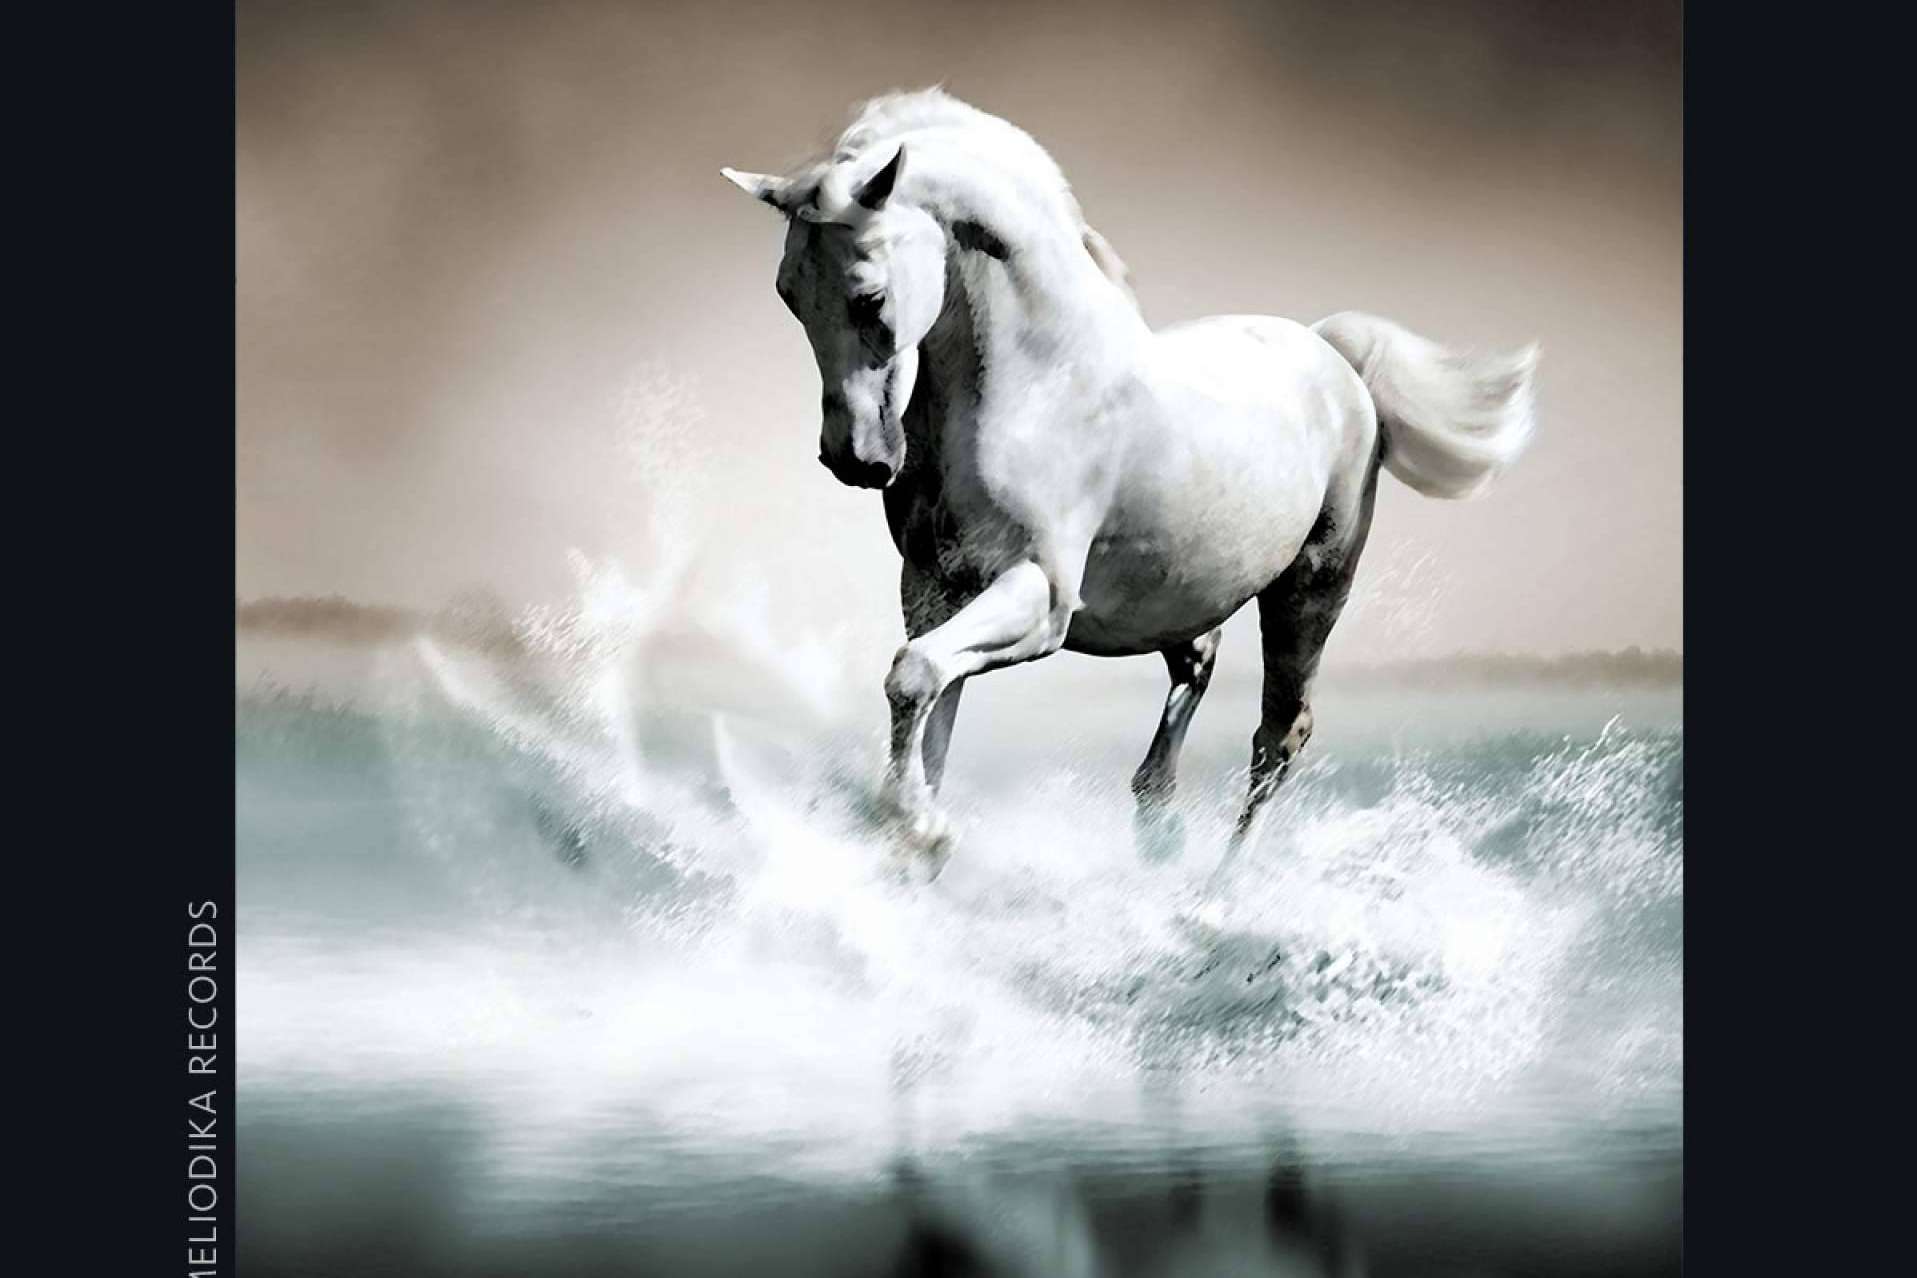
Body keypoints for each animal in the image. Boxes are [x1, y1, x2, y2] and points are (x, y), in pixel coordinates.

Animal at [723, 89, 1537, 875]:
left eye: (869, 297)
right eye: (788, 293)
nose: (855, 458)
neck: (1035, 385)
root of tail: (1333, 356)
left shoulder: (1041, 597)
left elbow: (914, 676)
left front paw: (923, 831)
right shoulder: (932, 588)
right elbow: (928, 710)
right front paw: (914, 846)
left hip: (1311, 588)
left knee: (1279, 737)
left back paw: (1214, 894)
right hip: (1180, 596)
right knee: (1197, 670)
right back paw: (1156, 823)